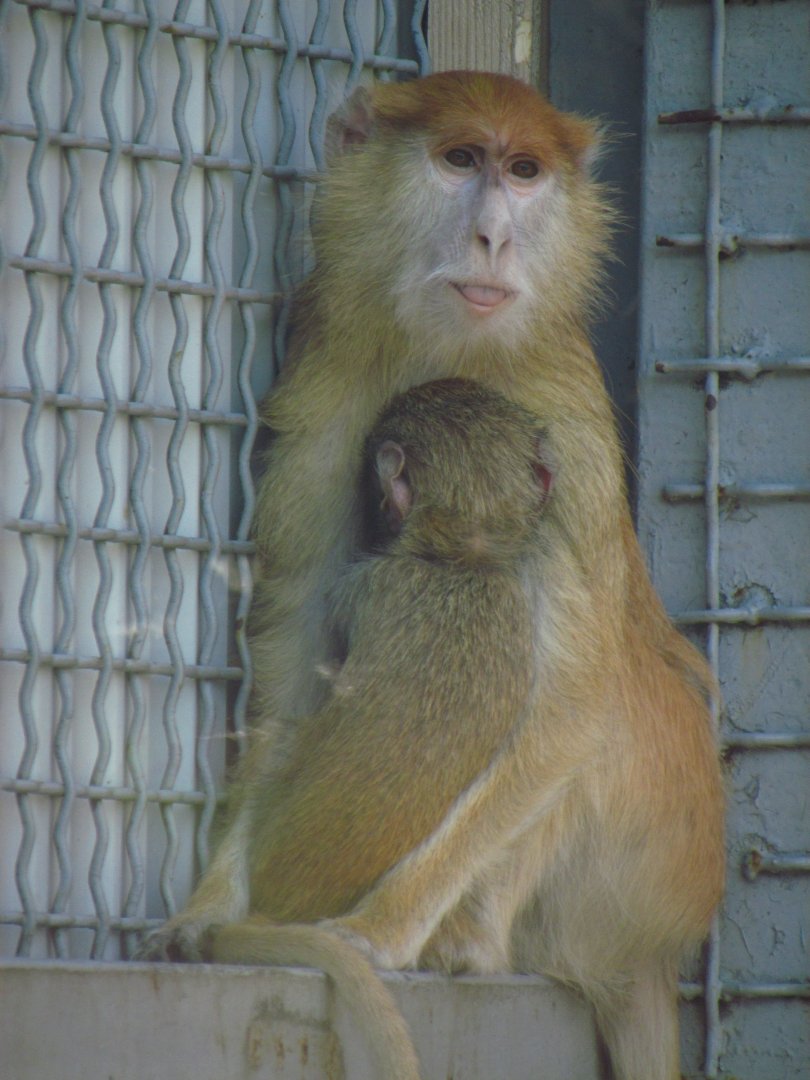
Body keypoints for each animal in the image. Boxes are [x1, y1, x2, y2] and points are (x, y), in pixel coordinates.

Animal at [137, 72, 725, 1080]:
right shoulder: (327, 395)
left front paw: (384, 926)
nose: (493, 234)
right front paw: (214, 902)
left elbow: (575, 707)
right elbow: (293, 647)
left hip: (639, 864)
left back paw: (468, 943)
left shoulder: (564, 416)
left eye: (524, 172)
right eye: (459, 160)